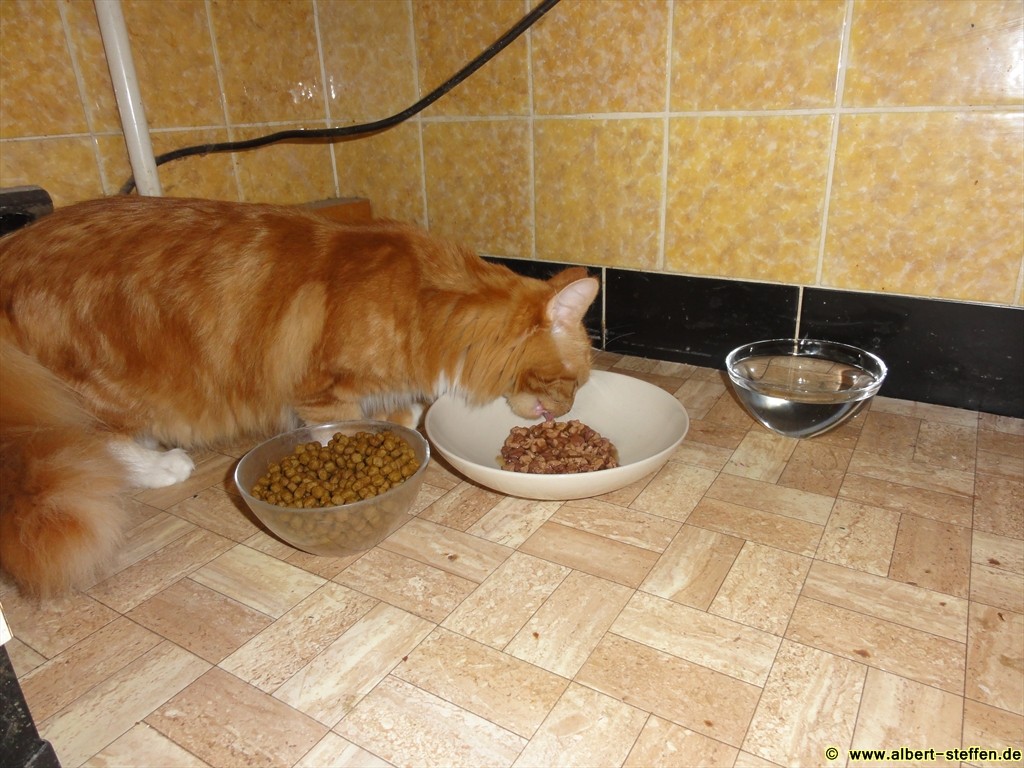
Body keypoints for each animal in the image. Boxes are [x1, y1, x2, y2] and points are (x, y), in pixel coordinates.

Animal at [0, 195, 599, 597]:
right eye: (573, 382)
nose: (569, 409)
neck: (425, 303)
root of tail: (14, 248)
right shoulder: (323, 391)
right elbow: (346, 437)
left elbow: (404, 416)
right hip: (105, 386)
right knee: (101, 440)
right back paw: (160, 465)